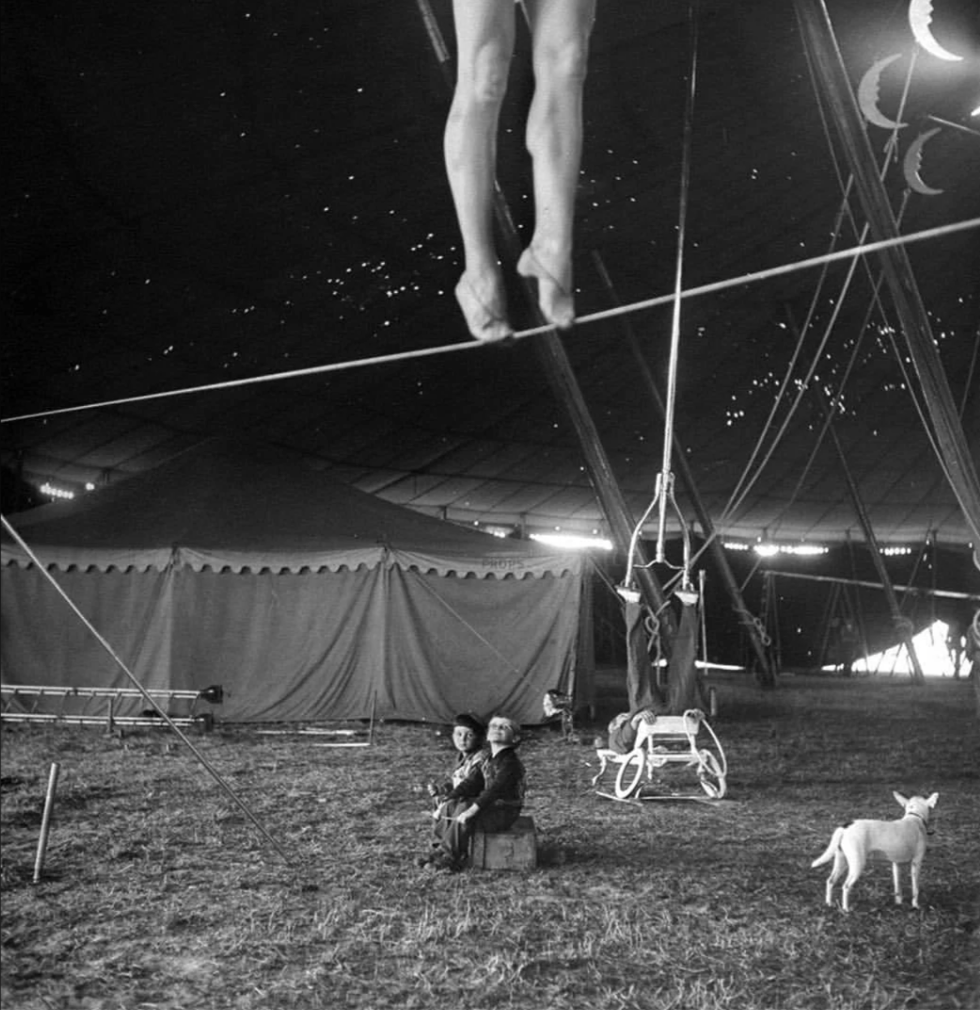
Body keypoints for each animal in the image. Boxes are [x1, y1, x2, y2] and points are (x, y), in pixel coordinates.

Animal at [804, 791, 937, 913]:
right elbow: (915, 888)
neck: (915, 817)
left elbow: (897, 886)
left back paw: (829, 904)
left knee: (830, 881)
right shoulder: (916, 863)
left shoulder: (896, 864)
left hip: (841, 861)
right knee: (846, 886)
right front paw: (915, 905)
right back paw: (846, 909)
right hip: (857, 865)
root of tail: (845, 827)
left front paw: (898, 903)